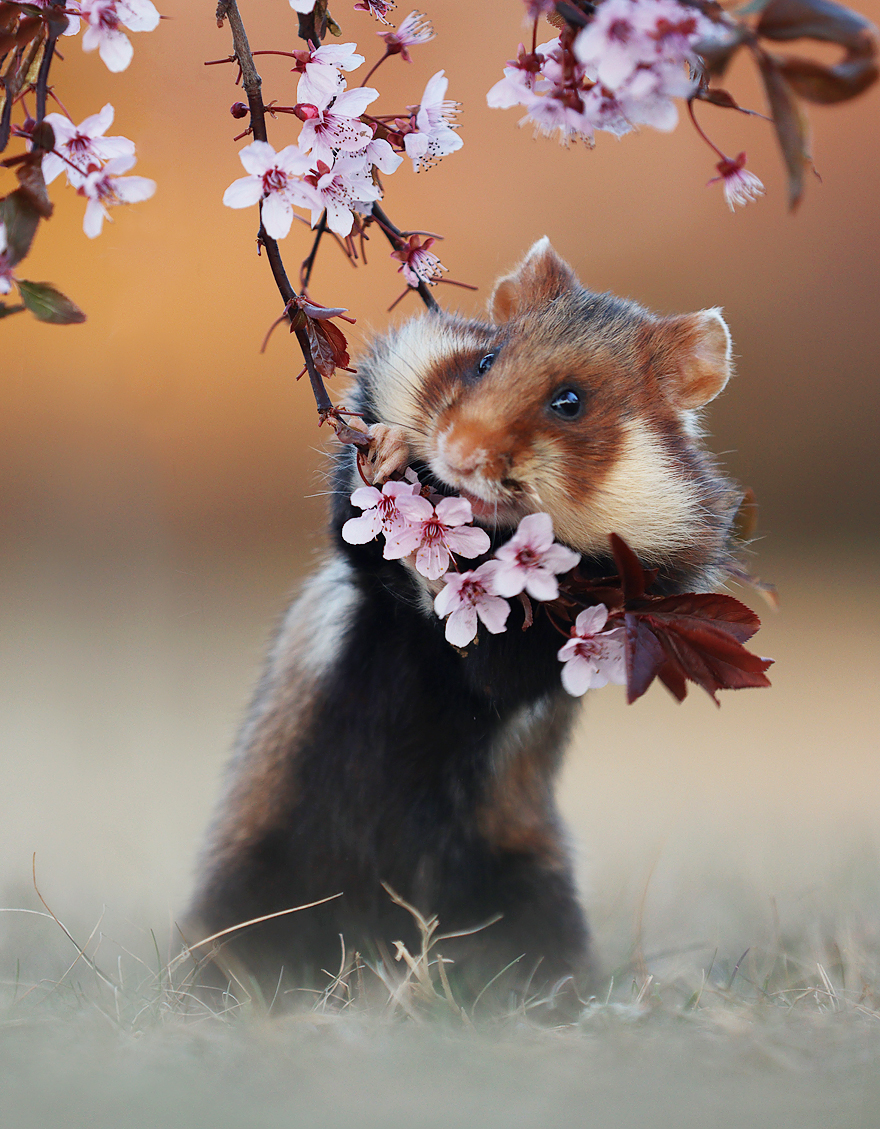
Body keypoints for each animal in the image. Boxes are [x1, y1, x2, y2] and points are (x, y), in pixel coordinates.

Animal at [187, 238, 745, 1016]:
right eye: (484, 360)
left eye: (569, 402)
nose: (456, 451)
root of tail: (373, 942)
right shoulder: (362, 576)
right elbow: (362, 539)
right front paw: (390, 456)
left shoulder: (567, 635)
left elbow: (493, 658)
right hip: (252, 868)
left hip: (529, 880)